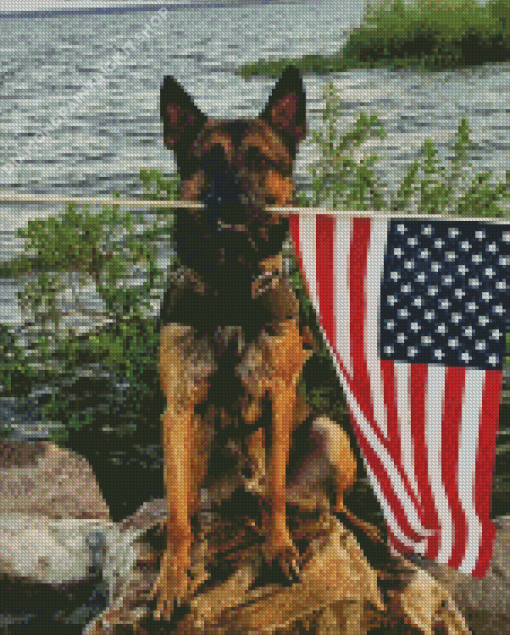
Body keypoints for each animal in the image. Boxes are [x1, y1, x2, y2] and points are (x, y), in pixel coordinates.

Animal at [149, 67, 380, 624]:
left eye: (259, 159)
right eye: (208, 160)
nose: (233, 203)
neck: (231, 285)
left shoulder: (277, 397)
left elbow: (275, 490)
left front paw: (277, 550)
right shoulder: (178, 408)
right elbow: (180, 510)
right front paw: (171, 578)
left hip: (330, 432)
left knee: (328, 505)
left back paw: (360, 527)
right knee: (193, 502)